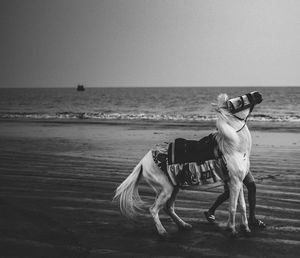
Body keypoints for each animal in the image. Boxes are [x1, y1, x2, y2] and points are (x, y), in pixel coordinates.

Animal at [113, 93, 256, 238]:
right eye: (238, 101)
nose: (258, 94)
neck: (234, 147)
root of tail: (143, 161)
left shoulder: (238, 182)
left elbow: (242, 206)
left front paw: (246, 228)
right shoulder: (234, 182)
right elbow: (233, 207)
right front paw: (232, 230)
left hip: (174, 187)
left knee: (168, 207)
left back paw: (184, 225)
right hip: (166, 189)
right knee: (153, 209)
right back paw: (162, 232)